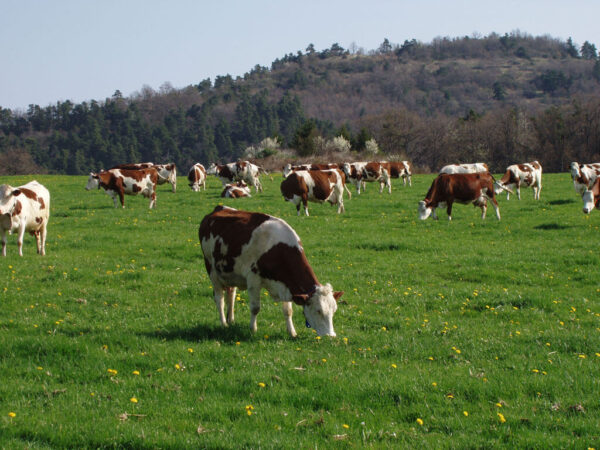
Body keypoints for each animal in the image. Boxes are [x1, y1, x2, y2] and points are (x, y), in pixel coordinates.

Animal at [199, 206, 342, 336]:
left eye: (334, 310)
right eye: (318, 310)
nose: (331, 336)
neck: (277, 249)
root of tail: (218, 208)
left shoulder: (286, 283)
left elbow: (288, 310)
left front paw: (292, 332)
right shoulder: (253, 278)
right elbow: (255, 308)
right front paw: (253, 329)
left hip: (230, 272)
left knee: (231, 294)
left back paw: (231, 320)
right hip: (211, 269)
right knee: (219, 298)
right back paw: (224, 323)